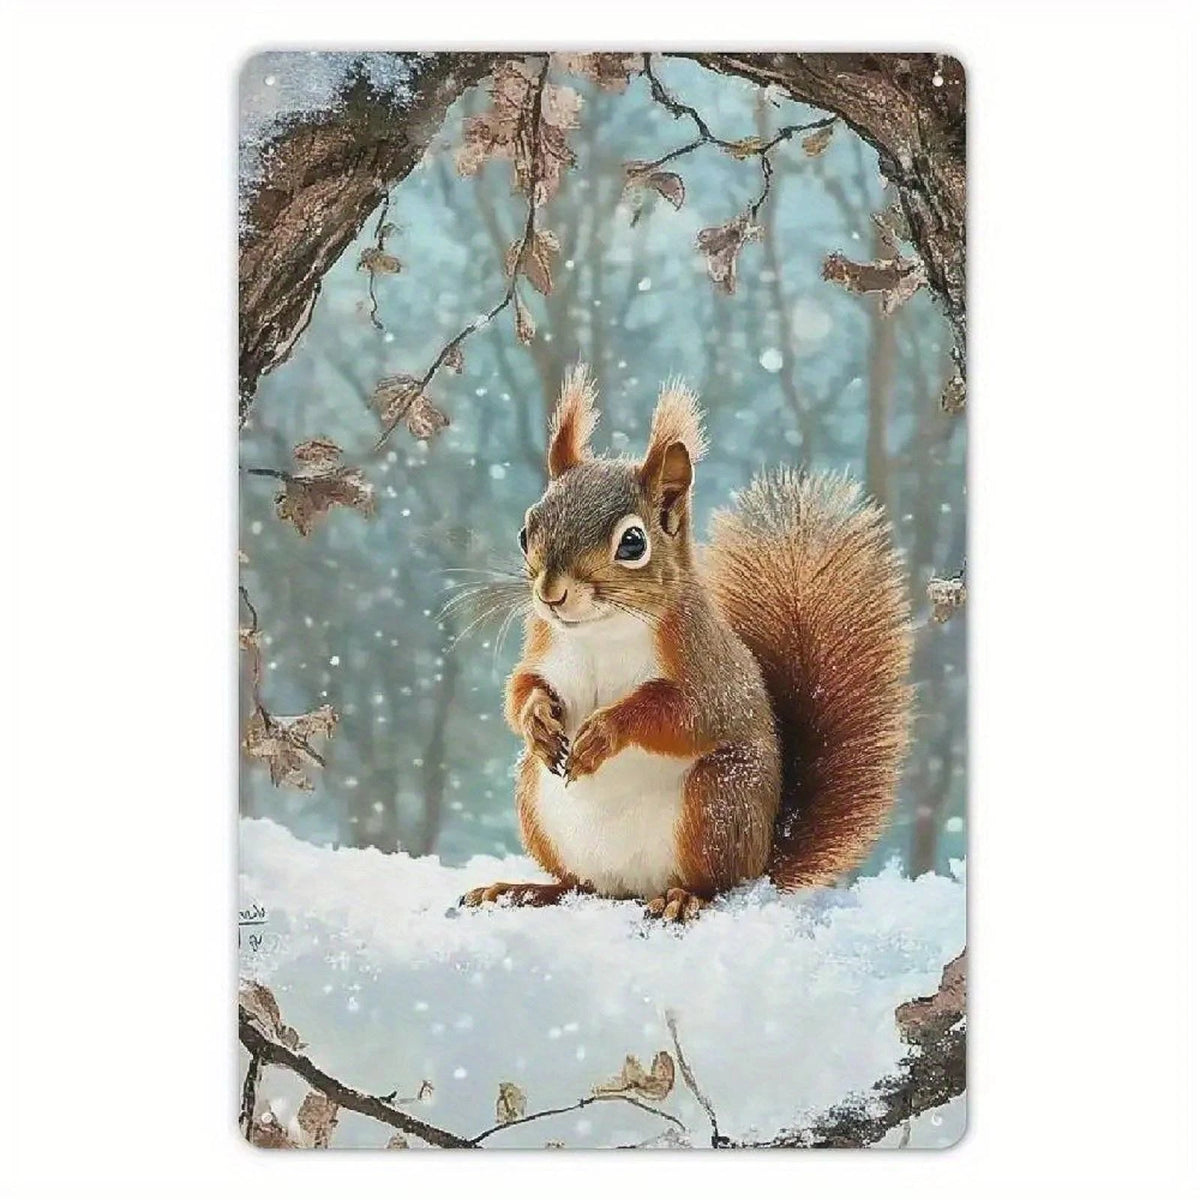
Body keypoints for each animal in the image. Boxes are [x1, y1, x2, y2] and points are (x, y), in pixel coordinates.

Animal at [461, 365, 913, 922]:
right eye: (526, 532)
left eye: (633, 543)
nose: (551, 593)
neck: (600, 630)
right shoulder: (545, 644)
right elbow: (523, 686)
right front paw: (537, 720)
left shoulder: (704, 663)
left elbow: (687, 713)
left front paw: (605, 732)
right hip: (536, 799)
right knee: (578, 887)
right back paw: (522, 890)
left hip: (717, 799)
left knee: (715, 883)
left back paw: (683, 898)